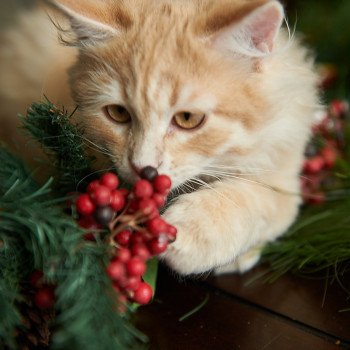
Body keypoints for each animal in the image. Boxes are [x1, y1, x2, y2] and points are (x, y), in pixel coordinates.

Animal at [0, 0, 320, 276]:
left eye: (188, 119)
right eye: (118, 113)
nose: (145, 169)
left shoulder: (284, 175)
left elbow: (251, 199)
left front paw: (198, 232)